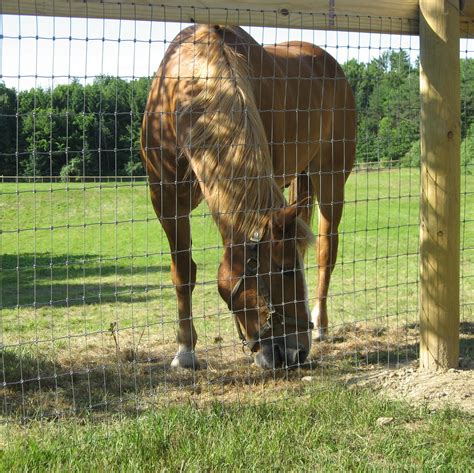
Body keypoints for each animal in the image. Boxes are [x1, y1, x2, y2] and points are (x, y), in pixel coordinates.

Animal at [141, 23, 356, 368]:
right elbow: (183, 272)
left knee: (327, 250)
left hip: (330, 179)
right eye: (285, 271)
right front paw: (185, 351)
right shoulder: (166, 199)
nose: (295, 353)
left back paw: (321, 324)